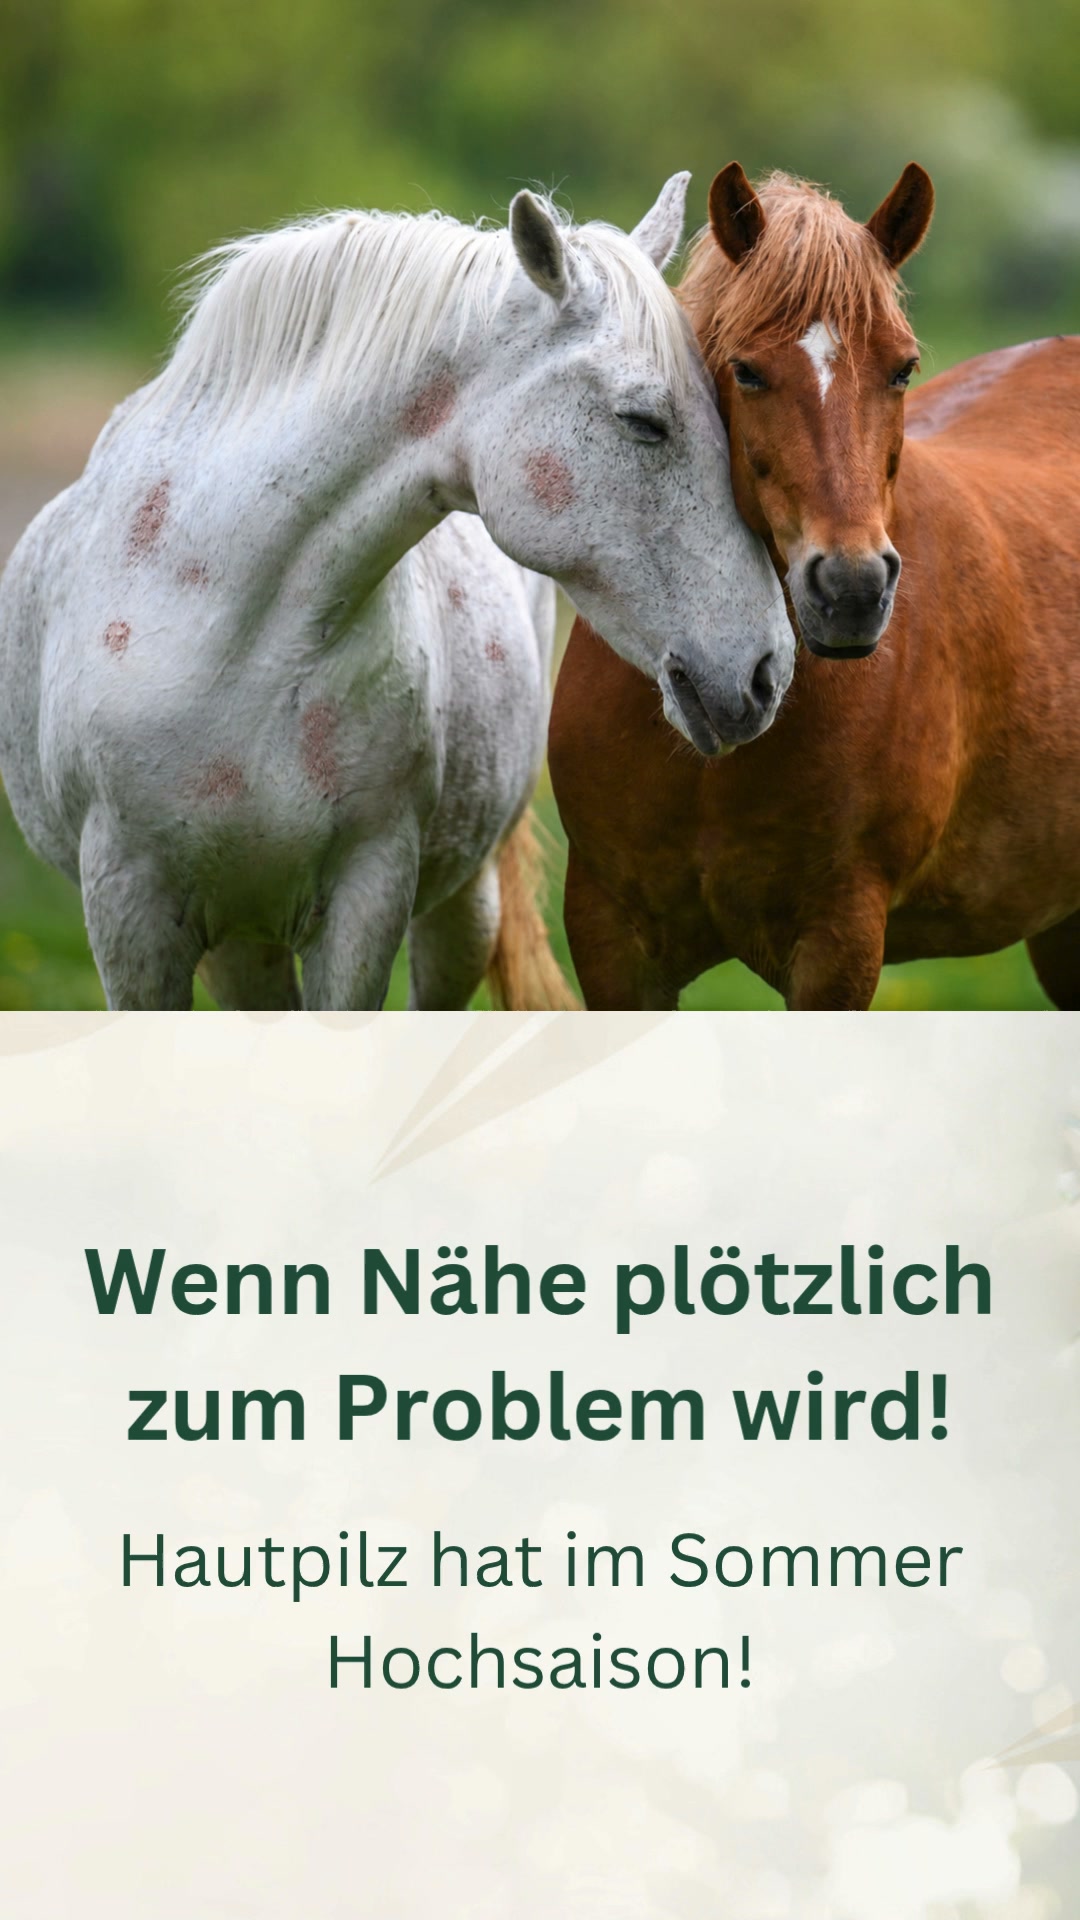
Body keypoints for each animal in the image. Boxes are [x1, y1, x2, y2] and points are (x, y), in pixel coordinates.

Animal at [0, 176, 794, 1011]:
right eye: (645, 421)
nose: (766, 672)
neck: (227, 631)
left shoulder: (366, 895)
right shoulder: (131, 917)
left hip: (456, 911)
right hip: (242, 942)